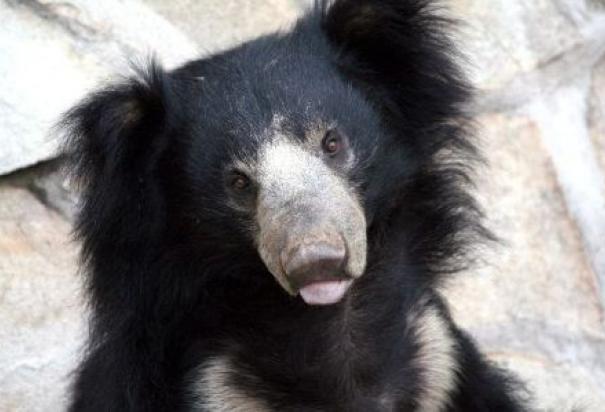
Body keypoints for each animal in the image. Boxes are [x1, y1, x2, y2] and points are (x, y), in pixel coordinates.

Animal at [59, 0, 528, 412]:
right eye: (238, 182)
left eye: (332, 142)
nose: (316, 262)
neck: (328, 324)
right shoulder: (212, 389)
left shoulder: (438, 362)